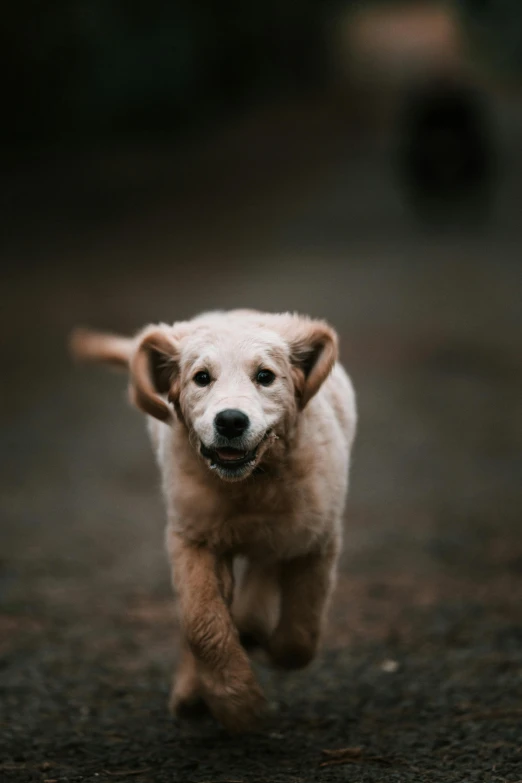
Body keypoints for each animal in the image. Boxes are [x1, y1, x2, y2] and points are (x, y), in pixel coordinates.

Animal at [69, 310, 356, 732]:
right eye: (201, 377)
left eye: (266, 376)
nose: (232, 421)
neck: (250, 484)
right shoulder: (193, 535)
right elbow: (201, 622)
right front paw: (235, 702)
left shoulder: (317, 535)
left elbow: (303, 628)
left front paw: (272, 654)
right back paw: (197, 689)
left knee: (267, 563)